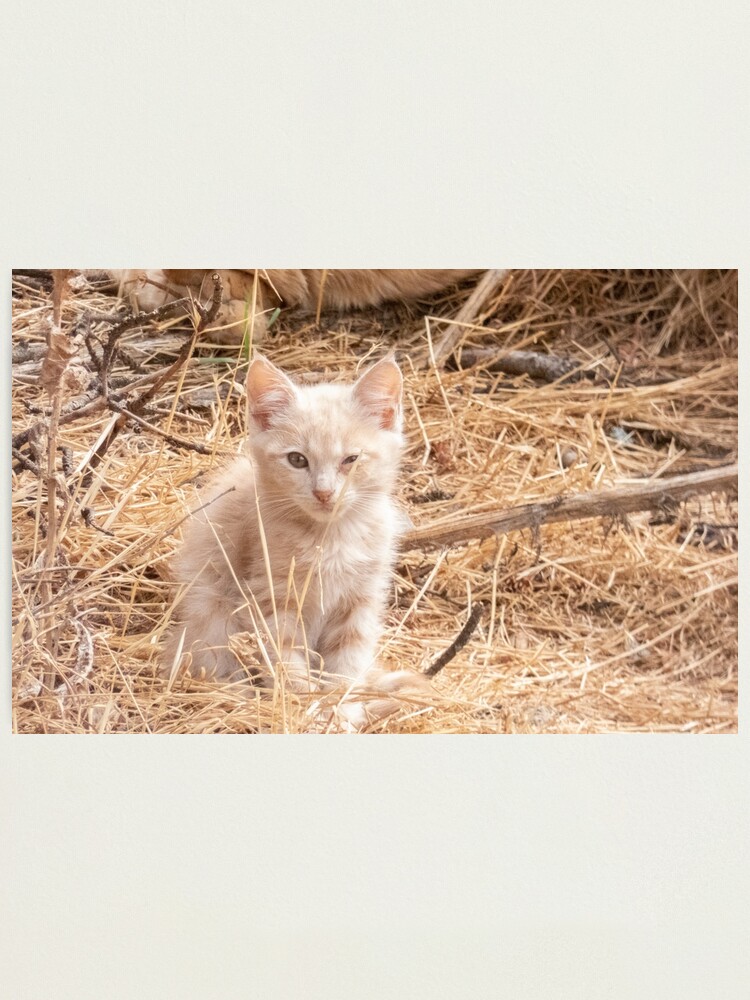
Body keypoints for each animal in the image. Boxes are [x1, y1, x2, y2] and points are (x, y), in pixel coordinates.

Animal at [166, 356, 428, 732]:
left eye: (351, 460)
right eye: (297, 460)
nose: (324, 493)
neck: (330, 538)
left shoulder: (361, 601)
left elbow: (348, 663)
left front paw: (341, 711)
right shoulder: (272, 597)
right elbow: (287, 661)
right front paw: (305, 713)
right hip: (213, 614)